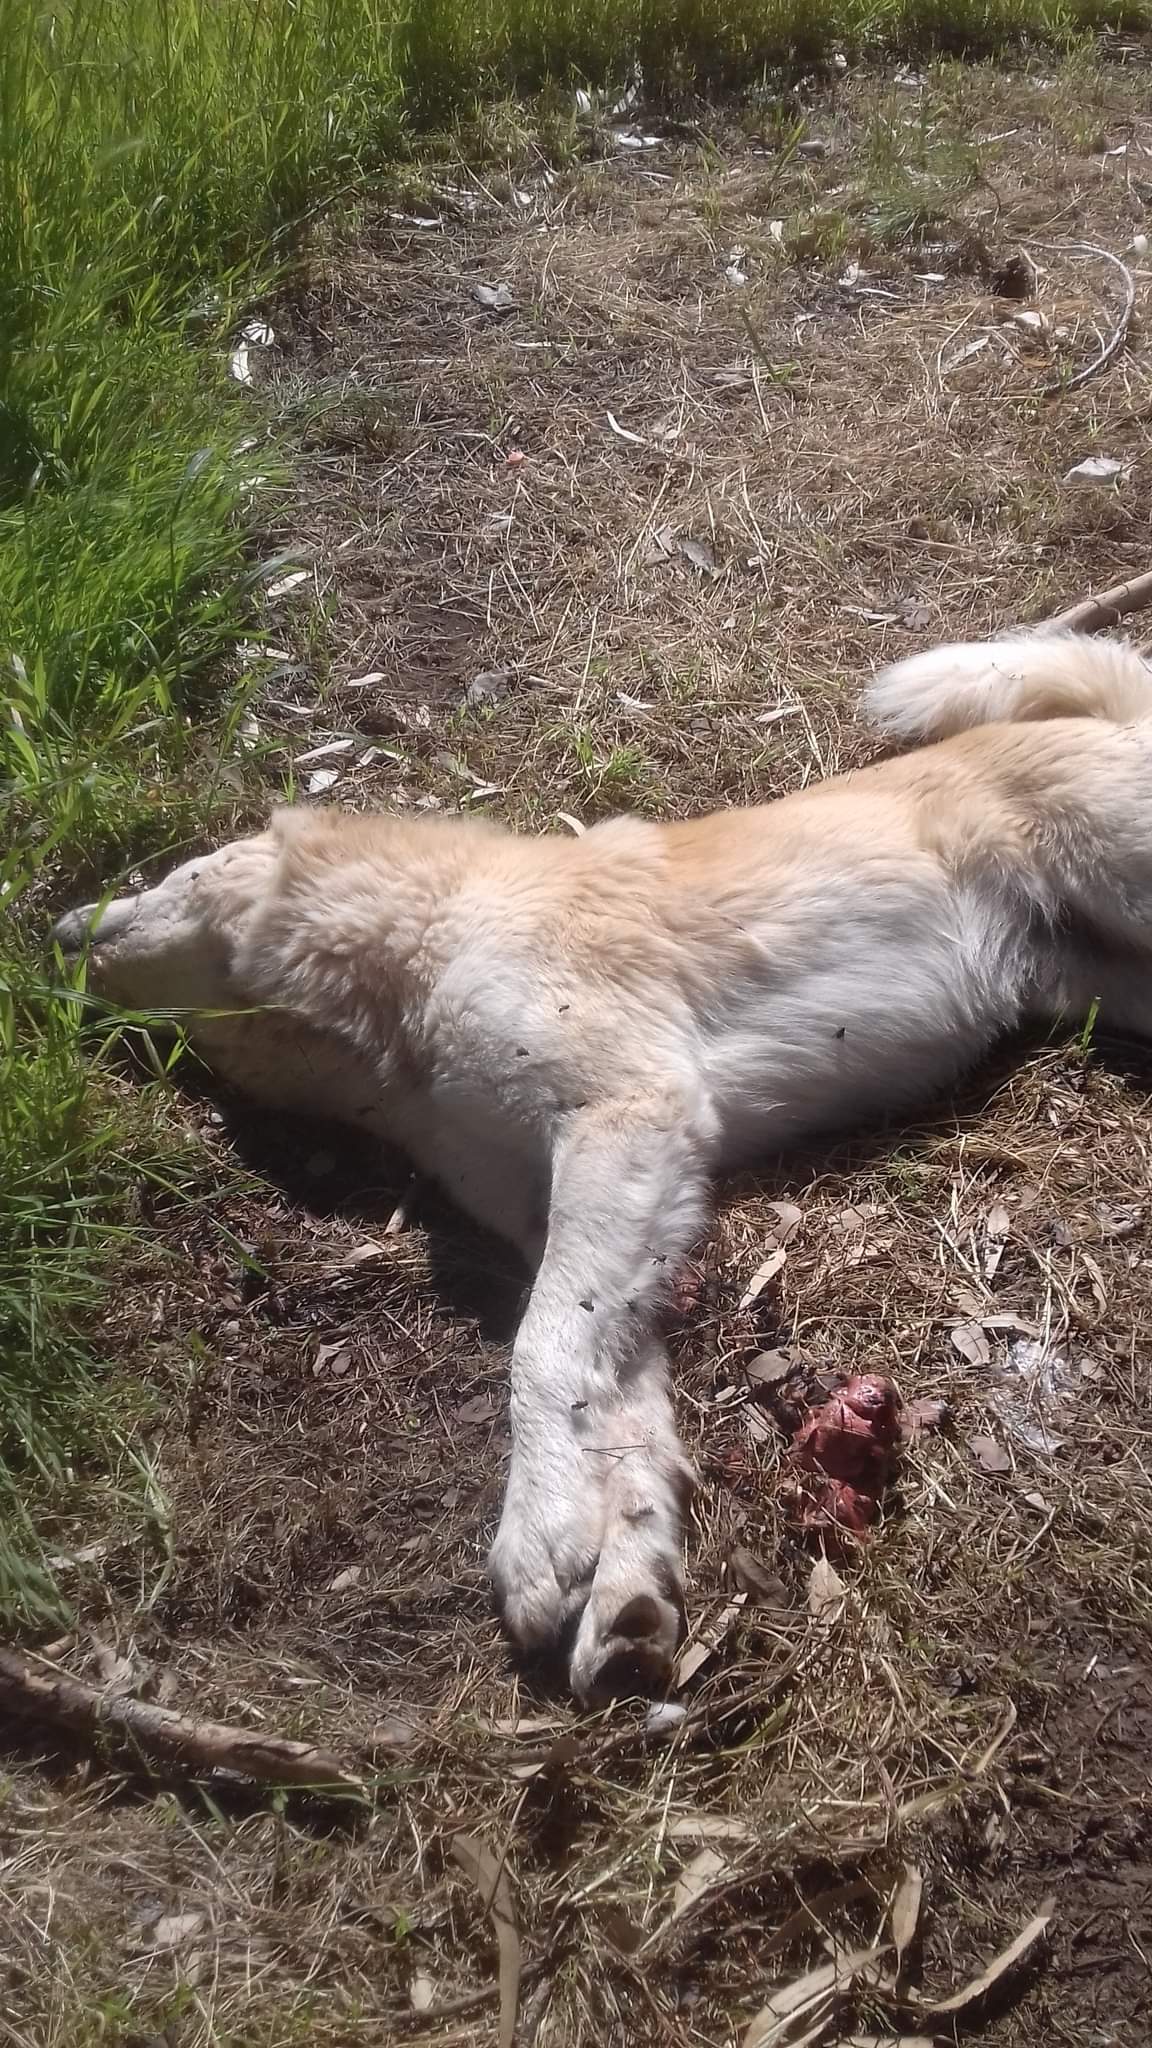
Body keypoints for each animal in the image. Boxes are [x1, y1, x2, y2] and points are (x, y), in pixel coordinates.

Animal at [53, 632, 1152, 1701]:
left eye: (176, 875)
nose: (53, 927)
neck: (423, 951)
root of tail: (1109, 716)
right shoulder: (588, 1210)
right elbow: (619, 1404)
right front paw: (625, 1585)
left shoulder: (627, 1120)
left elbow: (540, 1352)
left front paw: (537, 1533)